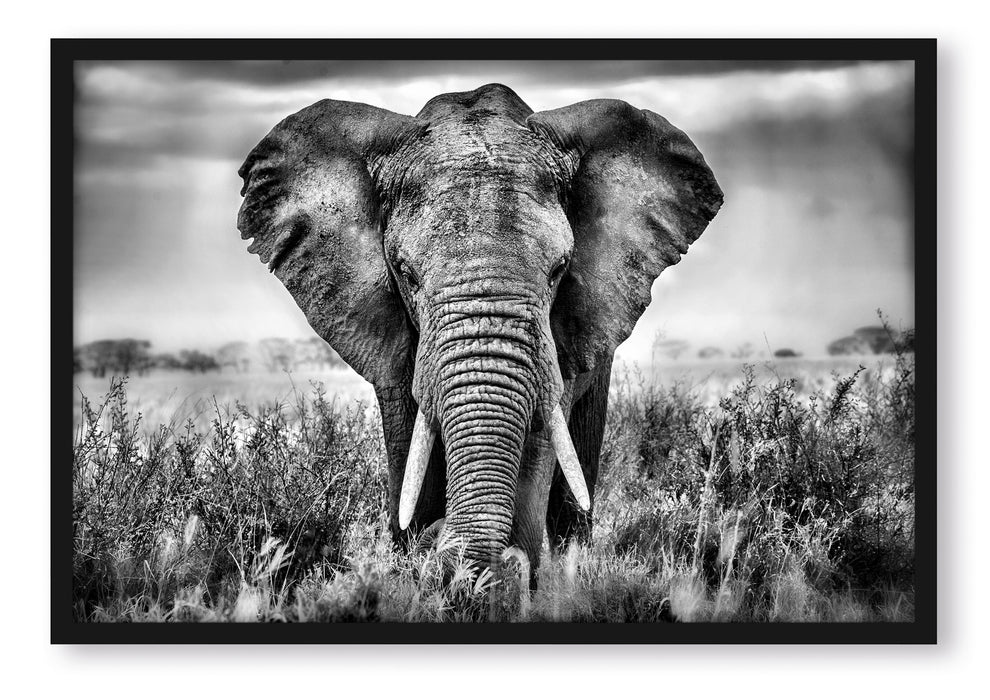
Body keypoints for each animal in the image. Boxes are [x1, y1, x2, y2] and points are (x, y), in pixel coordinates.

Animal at [236, 83, 722, 576]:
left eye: (559, 270)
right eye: (406, 274)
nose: (438, 542)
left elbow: (538, 439)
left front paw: (506, 574)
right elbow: (409, 445)